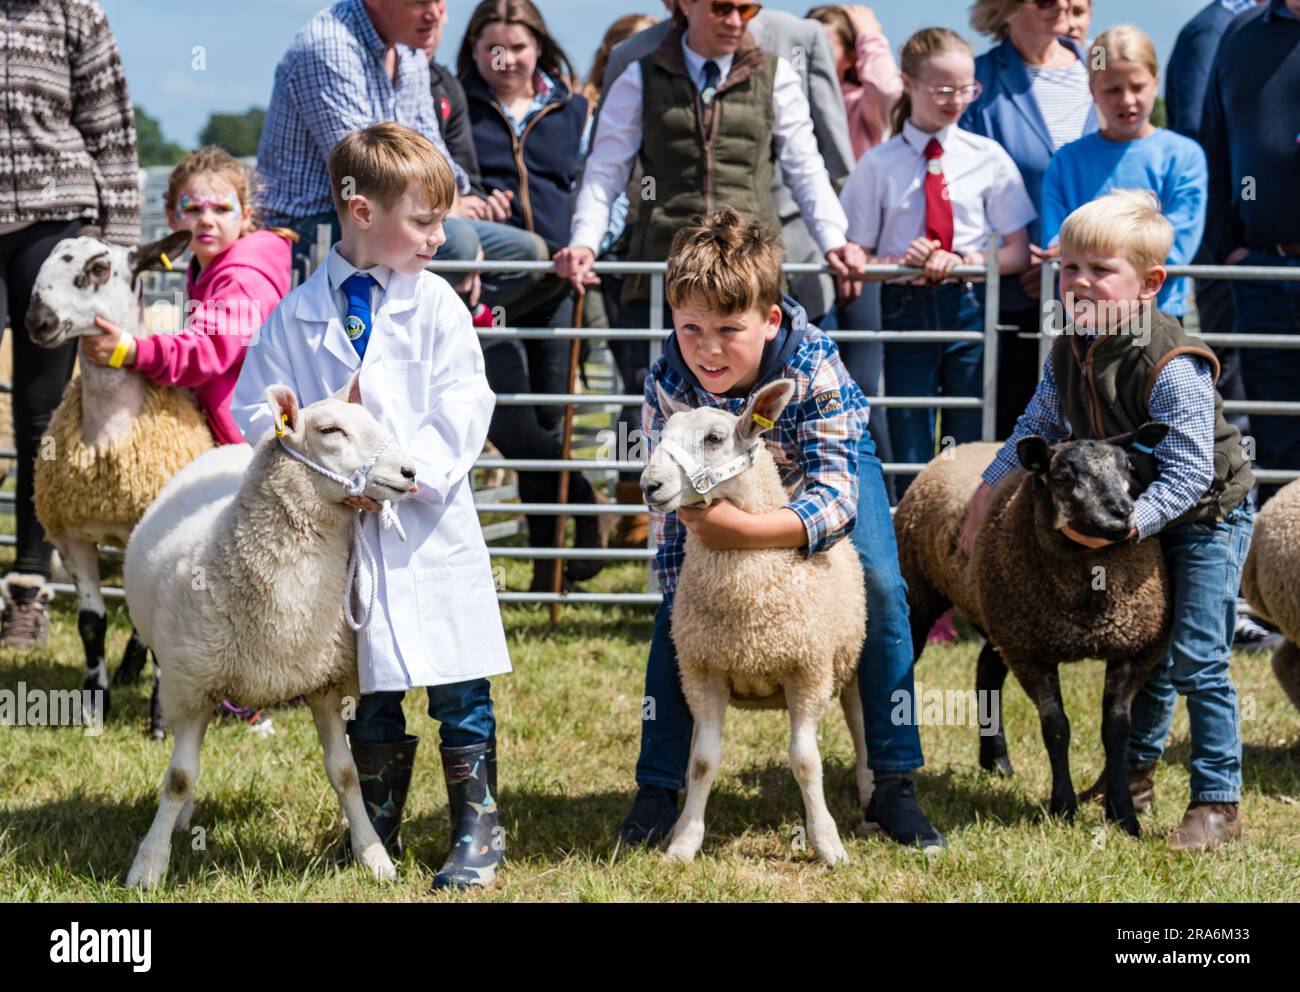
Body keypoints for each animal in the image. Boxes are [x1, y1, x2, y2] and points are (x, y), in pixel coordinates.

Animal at [22, 228, 214, 733]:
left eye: (98, 268)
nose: (38, 321)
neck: (108, 437)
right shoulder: (71, 537)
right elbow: (92, 623)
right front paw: (93, 706)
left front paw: (161, 720)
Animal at [122, 379, 416, 894]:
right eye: (330, 430)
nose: (410, 471)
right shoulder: (195, 686)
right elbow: (178, 778)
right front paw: (149, 864)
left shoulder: (325, 684)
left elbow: (347, 774)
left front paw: (372, 854)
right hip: (177, 672)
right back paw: (181, 819)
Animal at [634, 384, 868, 863]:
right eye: (661, 434)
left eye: (714, 438)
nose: (651, 485)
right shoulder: (703, 672)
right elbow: (702, 761)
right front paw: (684, 841)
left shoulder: (808, 672)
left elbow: (805, 761)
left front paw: (827, 843)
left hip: (849, 661)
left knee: (859, 726)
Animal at [899, 426, 1175, 837]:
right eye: (1062, 475)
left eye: (1127, 467)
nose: (1120, 516)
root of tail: (965, 445)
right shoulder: (1032, 653)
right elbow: (1057, 729)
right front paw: (1064, 807)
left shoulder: (1132, 650)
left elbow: (1116, 732)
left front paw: (1123, 814)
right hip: (927, 595)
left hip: (1000, 618)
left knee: (986, 672)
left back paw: (997, 762)